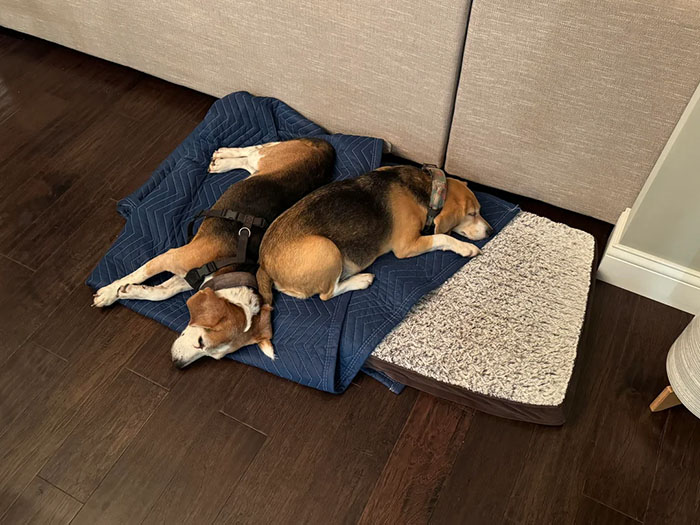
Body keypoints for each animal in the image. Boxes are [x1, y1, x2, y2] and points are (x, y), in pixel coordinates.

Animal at [91, 140, 334, 368]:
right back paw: (226, 153)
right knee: (257, 149)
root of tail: (324, 152)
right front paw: (110, 292)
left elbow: (161, 293)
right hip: (267, 156)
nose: (177, 364)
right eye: (200, 342)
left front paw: (129, 291)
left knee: (248, 161)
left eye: (214, 356)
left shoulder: (191, 278)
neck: (229, 269)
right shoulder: (171, 257)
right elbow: (139, 274)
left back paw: (221, 162)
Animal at [256, 164, 492, 302]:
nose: (490, 231)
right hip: (326, 248)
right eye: (472, 213)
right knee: (327, 294)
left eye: (479, 211)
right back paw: (361, 280)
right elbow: (443, 236)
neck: (428, 188)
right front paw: (465, 247)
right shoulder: (406, 246)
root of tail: (264, 264)